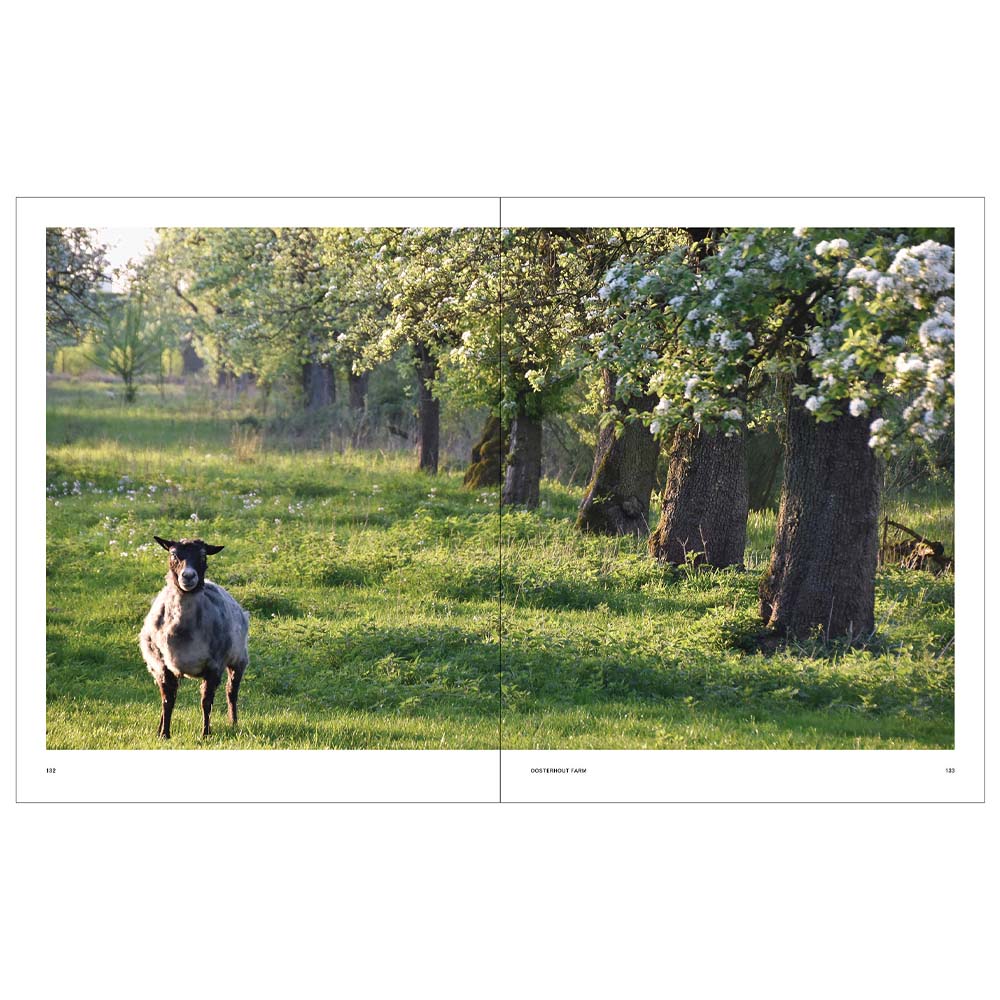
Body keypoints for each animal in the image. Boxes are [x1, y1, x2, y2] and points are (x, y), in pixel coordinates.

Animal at [139, 536, 250, 740]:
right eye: (173, 554)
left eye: (203, 555)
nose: (188, 576)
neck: (183, 630)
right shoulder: (162, 665)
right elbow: (167, 701)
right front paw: (165, 734)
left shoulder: (213, 666)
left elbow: (206, 702)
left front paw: (205, 734)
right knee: (170, 695)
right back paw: (159, 728)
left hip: (239, 659)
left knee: (231, 692)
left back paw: (233, 723)